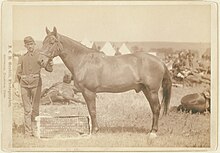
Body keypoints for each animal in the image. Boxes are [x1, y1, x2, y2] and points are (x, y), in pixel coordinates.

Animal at [37, 26, 172, 137]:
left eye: (52, 42)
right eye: (43, 42)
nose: (41, 61)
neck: (83, 60)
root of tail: (160, 61)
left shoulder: (89, 92)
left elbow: (92, 111)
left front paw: (94, 131)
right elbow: (90, 110)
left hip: (152, 91)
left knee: (156, 108)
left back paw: (153, 132)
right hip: (146, 90)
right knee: (153, 108)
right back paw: (151, 130)